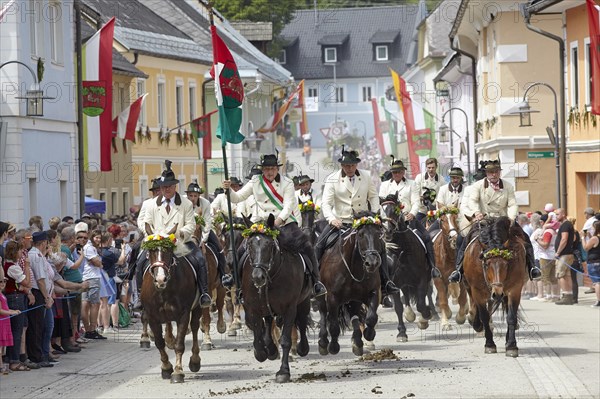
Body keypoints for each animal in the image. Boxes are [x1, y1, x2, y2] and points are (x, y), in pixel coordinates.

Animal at [139, 225, 203, 384]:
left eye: (168, 251)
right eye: (151, 251)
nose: (160, 279)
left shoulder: (183, 314)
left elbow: (180, 344)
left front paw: (178, 371)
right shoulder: (152, 316)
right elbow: (159, 343)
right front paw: (166, 367)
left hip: (198, 307)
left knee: (194, 328)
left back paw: (195, 360)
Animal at [240, 214, 312, 382]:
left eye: (269, 244)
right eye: (250, 245)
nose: (258, 277)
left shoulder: (290, 308)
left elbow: (285, 340)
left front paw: (283, 371)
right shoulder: (253, 307)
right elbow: (257, 335)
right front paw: (261, 353)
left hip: (304, 302)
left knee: (302, 321)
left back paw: (302, 348)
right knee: (268, 322)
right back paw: (271, 349)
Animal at [318, 211, 384, 358]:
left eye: (378, 233)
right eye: (360, 235)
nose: (372, 263)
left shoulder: (373, 292)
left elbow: (371, 317)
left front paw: (369, 334)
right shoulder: (332, 297)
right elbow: (334, 325)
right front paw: (333, 346)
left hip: (353, 299)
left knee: (354, 316)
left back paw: (358, 343)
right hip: (322, 297)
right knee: (324, 314)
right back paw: (323, 343)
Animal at [382, 197, 434, 340]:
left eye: (395, 211)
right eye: (380, 211)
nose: (387, 232)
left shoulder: (422, 279)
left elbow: (421, 304)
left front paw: (425, 317)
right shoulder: (394, 284)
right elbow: (398, 307)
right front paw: (401, 332)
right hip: (405, 283)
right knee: (406, 296)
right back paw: (410, 314)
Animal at [462, 217, 528, 358]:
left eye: (506, 264)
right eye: (486, 264)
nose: (497, 293)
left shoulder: (514, 290)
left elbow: (511, 317)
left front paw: (512, 346)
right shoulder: (477, 291)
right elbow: (484, 316)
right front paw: (489, 344)